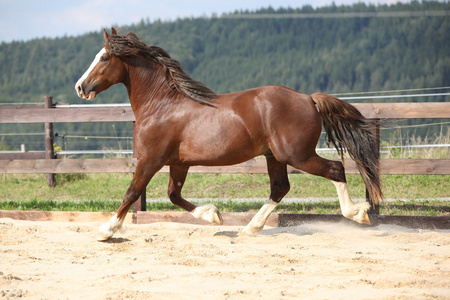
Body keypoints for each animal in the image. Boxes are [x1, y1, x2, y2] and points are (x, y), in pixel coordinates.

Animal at [75, 28, 382, 241]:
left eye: (104, 57)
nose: (80, 87)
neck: (161, 105)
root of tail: (308, 98)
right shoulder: (178, 163)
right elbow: (174, 194)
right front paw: (214, 215)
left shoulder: (150, 160)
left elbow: (132, 192)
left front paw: (106, 231)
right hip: (274, 156)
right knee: (280, 188)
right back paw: (250, 229)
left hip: (296, 155)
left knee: (335, 169)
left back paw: (359, 213)